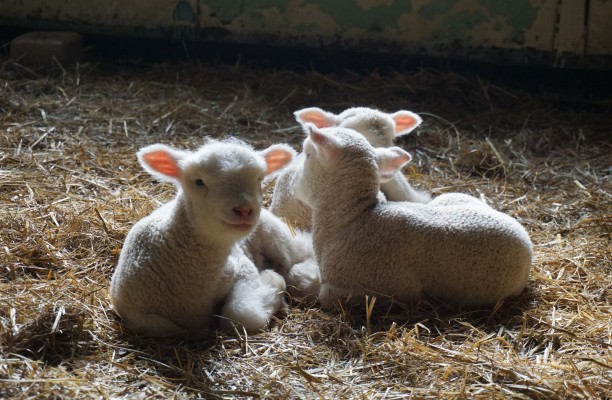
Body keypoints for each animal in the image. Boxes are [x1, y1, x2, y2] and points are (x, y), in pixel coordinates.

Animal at [110, 139, 296, 336]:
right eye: (199, 182)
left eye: (259, 179)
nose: (244, 210)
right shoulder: (141, 317)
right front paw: (273, 280)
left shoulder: (241, 266)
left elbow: (241, 315)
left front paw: (272, 280)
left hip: (275, 235)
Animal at [294, 125, 532, 310]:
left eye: (308, 154)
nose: (294, 184)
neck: (355, 217)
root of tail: (527, 242)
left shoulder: (381, 290)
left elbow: (324, 294)